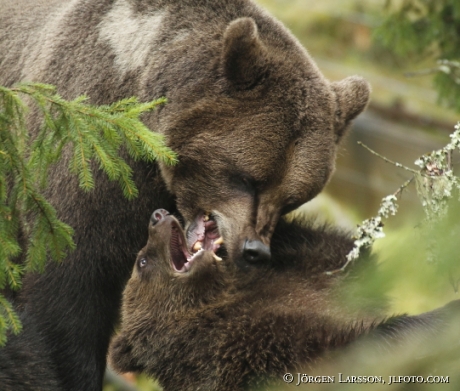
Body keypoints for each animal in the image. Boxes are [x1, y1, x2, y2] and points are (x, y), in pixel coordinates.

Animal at [110, 210, 460, 391]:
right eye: (142, 261)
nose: (158, 215)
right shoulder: (245, 346)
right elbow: (343, 351)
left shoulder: (312, 279)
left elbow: (345, 258)